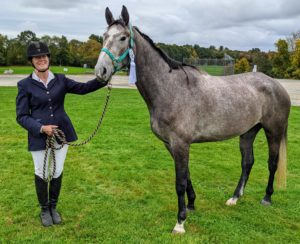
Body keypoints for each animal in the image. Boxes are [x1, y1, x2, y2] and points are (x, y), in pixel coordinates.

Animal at [95, 5, 290, 234]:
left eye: (123, 37)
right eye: (104, 36)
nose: (101, 71)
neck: (171, 88)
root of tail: (275, 84)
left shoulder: (181, 143)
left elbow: (179, 182)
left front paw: (180, 222)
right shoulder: (171, 144)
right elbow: (186, 175)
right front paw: (191, 205)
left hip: (273, 131)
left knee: (272, 163)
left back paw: (267, 197)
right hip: (248, 132)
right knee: (247, 163)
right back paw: (234, 198)